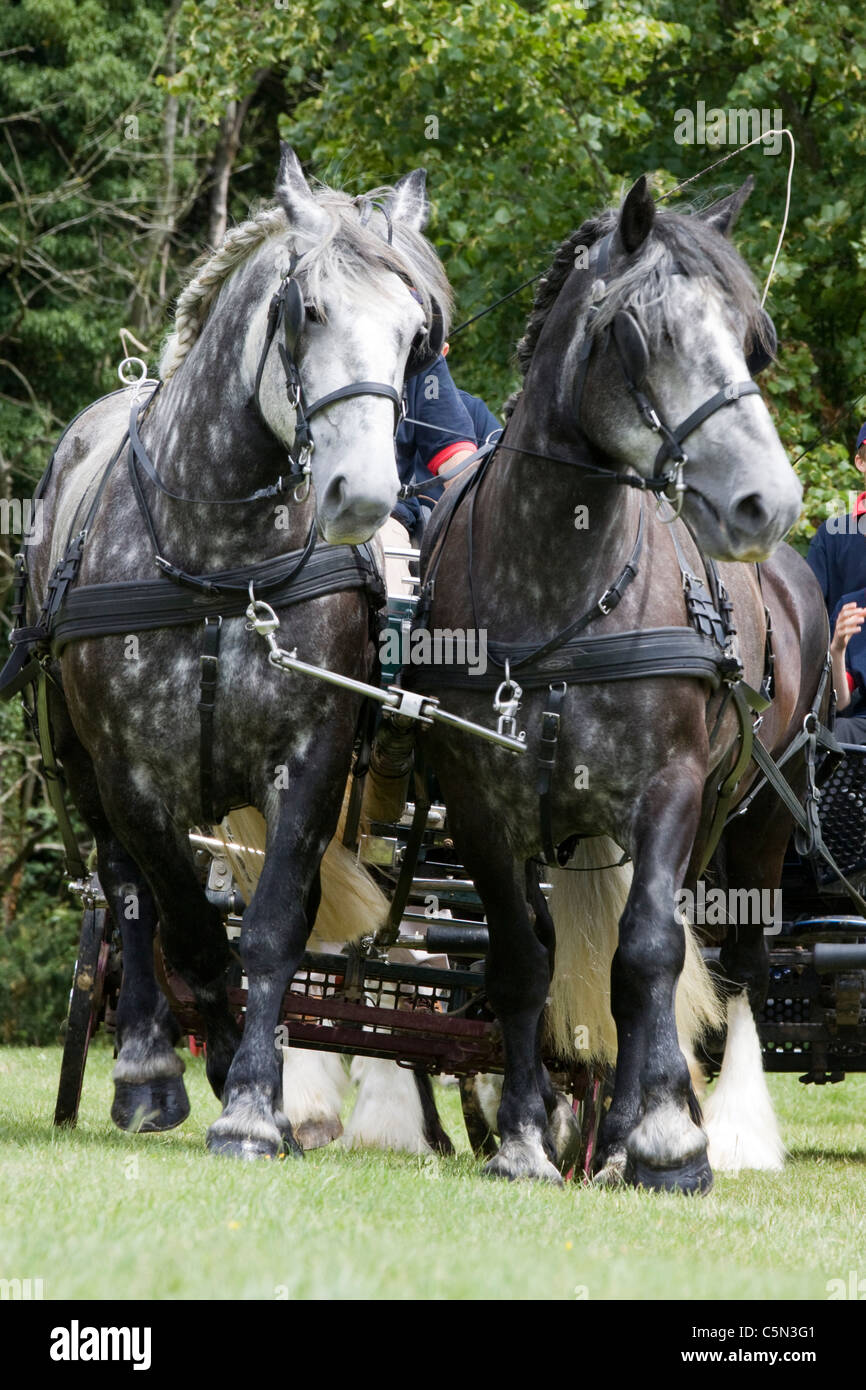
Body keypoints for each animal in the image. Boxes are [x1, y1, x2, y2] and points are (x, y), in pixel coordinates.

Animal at [16, 144, 453, 1160]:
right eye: (308, 311)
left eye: (416, 333)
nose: (363, 493)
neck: (223, 565)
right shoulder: (132, 775)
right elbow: (185, 928)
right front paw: (217, 1067)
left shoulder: (313, 758)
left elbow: (270, 930)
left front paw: (256, 1102)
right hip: (87, 775)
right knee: (129, 898)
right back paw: (146, 1069)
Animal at [409, 174, 827, 1192]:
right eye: (645, 335)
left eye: (753, 338)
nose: (768, 501)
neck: (559, 590)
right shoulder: (480, 802)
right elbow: (522, 960)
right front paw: (525, 1138)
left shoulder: (671, 788)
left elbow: (648, 955)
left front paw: (669, 1142)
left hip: (756, 811)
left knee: (730, 958)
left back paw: (704, 1124)